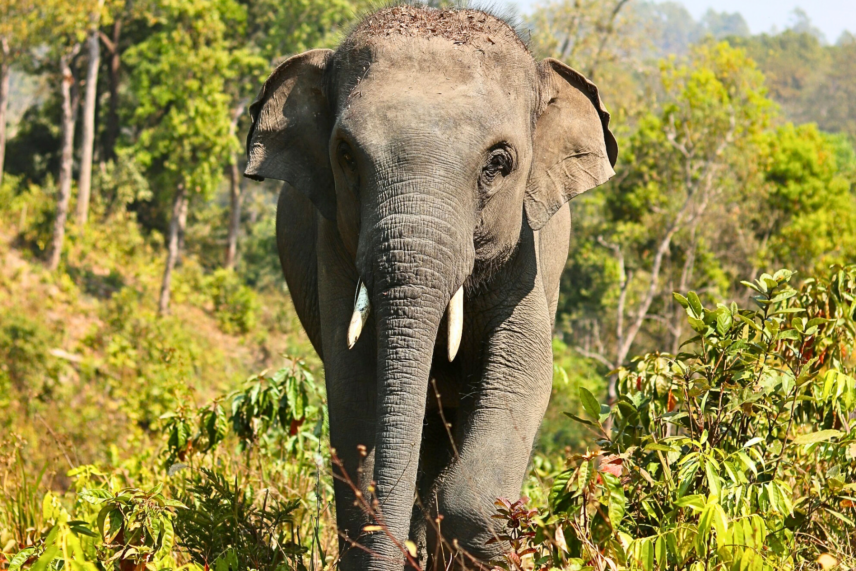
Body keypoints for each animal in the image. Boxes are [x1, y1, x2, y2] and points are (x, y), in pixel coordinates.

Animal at [244, 5, 616, 570]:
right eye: (346, 156)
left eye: (499, 163)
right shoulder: (332, 243)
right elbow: (354, 384)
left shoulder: (530, 251)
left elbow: (524, 369)